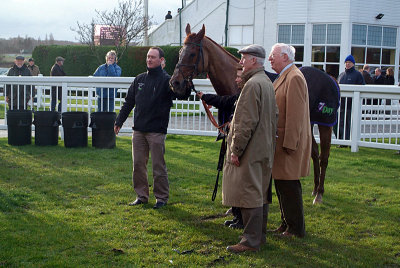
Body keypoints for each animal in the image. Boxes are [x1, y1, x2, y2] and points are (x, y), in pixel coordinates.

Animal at [170, 24, 340, 204]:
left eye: (192, 53)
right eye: (180, 52)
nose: (175, 83)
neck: (239, 80)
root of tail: (330, 78)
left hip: (324, 123)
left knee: (324, 156)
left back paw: (319, 193)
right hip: (307, 122)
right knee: (313, 152)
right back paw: (315, 189)